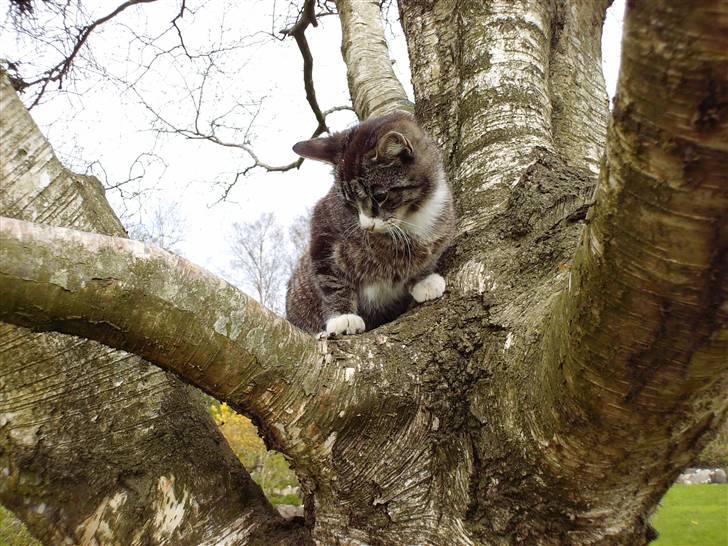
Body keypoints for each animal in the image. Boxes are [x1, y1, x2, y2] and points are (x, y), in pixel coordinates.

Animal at [286, 112, 452, 336]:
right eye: (348, 202)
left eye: (380, 196)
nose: (366, 226)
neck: (409, 216)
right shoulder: (323, 229)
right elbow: (330, 278)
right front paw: (342, 317)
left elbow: (428, 258)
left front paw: (424, 280)